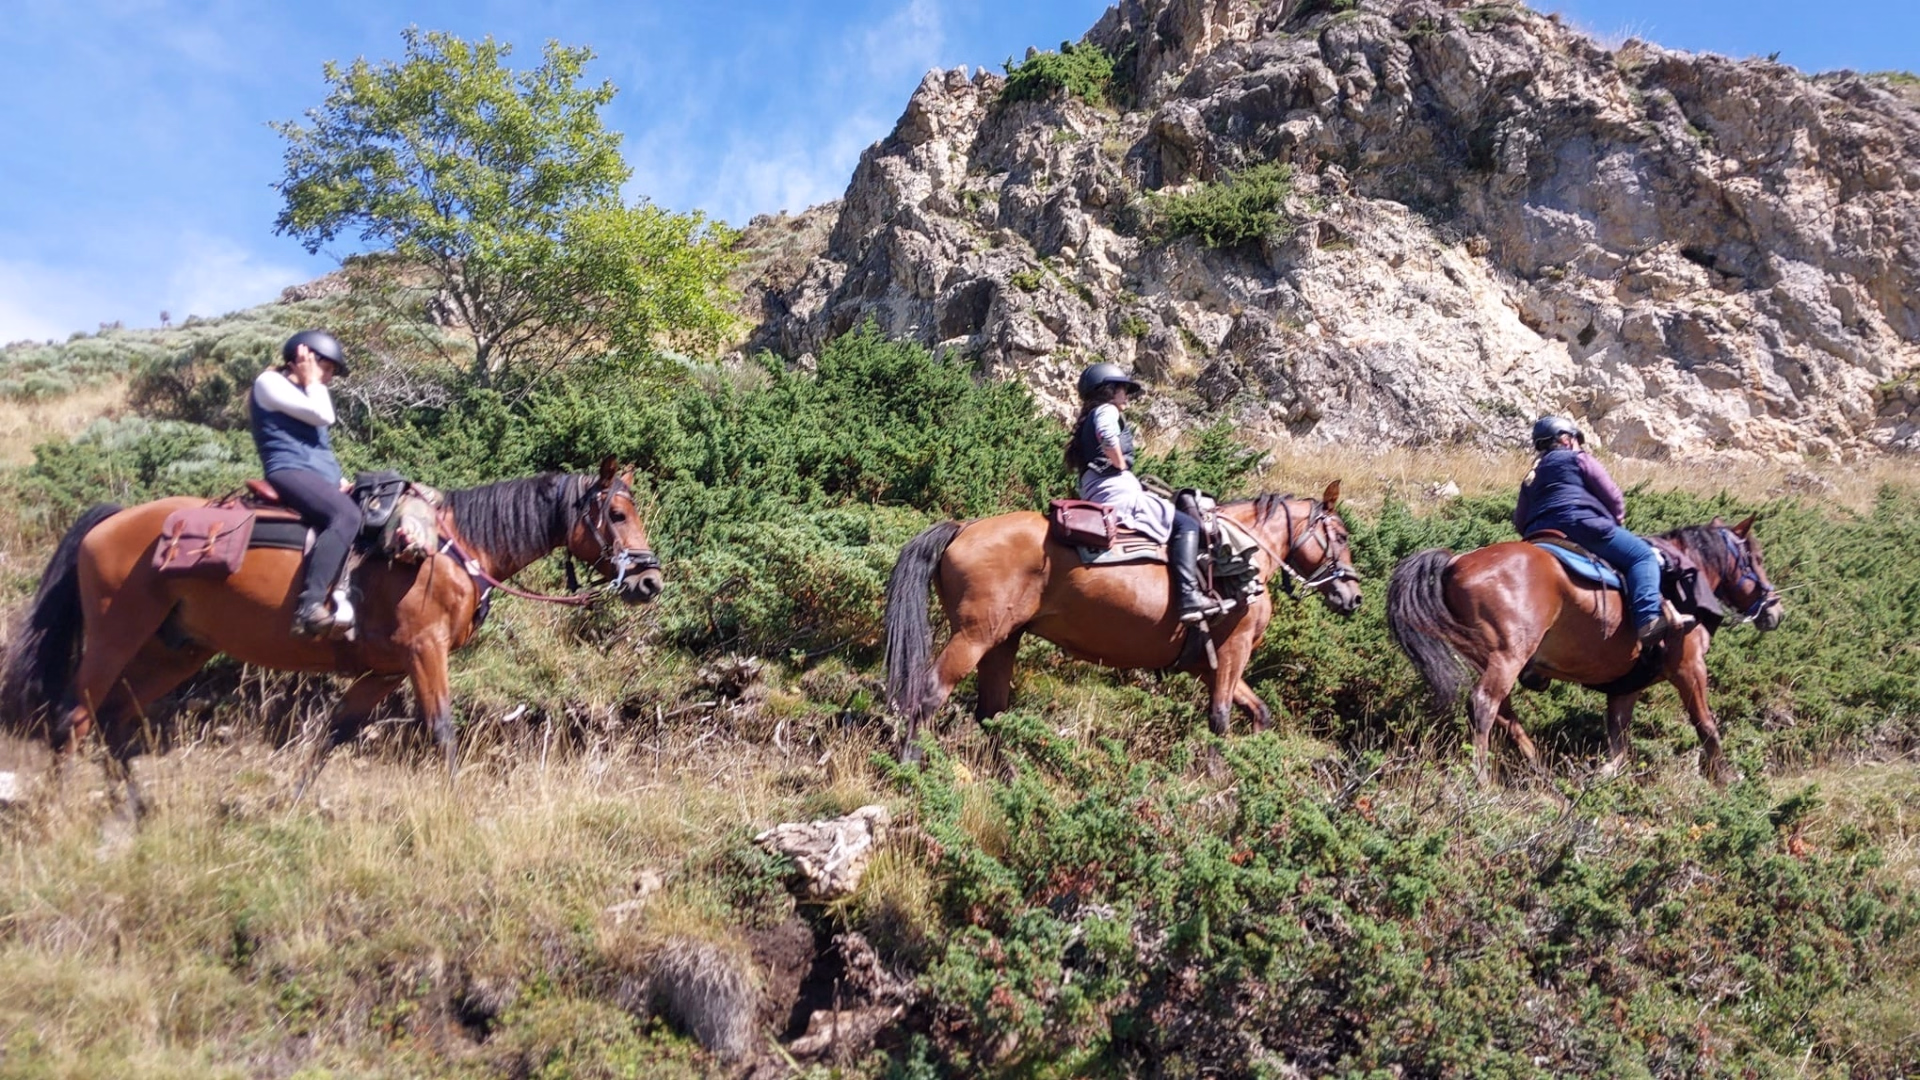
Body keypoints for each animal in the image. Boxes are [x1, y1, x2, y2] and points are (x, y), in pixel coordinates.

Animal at [0, 456, 663, 813]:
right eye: (618, 514)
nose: (650, 580)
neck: (451, 548)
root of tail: (109, 521)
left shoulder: (381, 671)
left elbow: (332, 736)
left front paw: (291, 805)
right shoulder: (424, 654)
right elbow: (443, 731)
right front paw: (456, 805)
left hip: (177, 649)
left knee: (115, 716)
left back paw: (139, 810)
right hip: (116, 634)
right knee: (73, 715)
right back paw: (63, 811)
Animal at [883, 482, 1363, 756]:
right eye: (1340, 536)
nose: (1354, 597)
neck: (1241, 554)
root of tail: (963, 528)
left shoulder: (1208, 664)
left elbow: (1259, 713)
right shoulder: (1232, 651)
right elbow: (1220, 719)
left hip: (1003, 640)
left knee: (992, 712)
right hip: (974, 637)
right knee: (930, 694)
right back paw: (912, 765)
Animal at [1386, 515, 1784, 786]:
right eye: (1757, 557)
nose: (1775, 611)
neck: (1684, 577)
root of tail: (1455, 562)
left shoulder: (1627, 687)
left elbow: (1618, 738)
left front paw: (1606, 774)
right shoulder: (1688, 668)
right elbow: (1706, 724)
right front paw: (1726, 776)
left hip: (1491, 659)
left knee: (1505, 713)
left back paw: (1539, 769)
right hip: (1507, 655)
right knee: (1484, 704)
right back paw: (1482, 778)